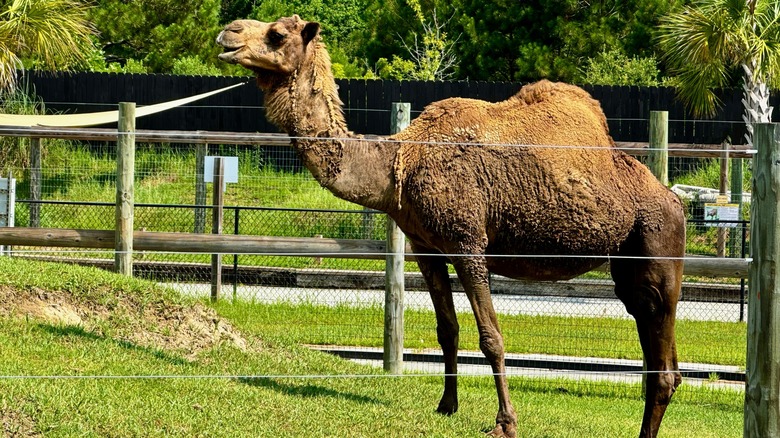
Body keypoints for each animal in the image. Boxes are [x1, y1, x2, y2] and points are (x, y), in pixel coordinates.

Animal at [216, 14, 684, 438]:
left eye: (277, 34)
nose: (227, 34)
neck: (398, 165)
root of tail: (674, 199)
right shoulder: (425, 245)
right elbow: (447, 330)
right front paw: (446, 405)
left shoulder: (468, 241)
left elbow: (491, 337)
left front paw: (505, 422)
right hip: (628, 265)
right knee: (659, 349)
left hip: (658, 244)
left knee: (661, 361)